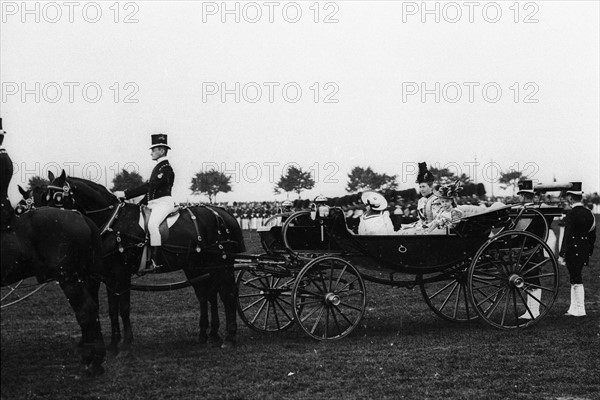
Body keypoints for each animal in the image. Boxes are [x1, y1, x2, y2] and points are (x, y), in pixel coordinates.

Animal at [0, 206, 105, 376]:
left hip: (69, 279)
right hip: (86, 278)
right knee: (93, 310)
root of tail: (79, 216)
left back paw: (91, 360)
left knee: (86, 311)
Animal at [43, 171, 246, 354]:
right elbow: (112, 309)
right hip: (198, 266)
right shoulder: (108, 276)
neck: (114, 223)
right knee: (207, 295)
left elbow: (124, 308)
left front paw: (125, 344)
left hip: (222, 265)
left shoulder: (121, 273)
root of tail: (223, 213)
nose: (46, 222)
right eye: (44, 196)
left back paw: (229, 338)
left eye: (57, 197)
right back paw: (208, 335)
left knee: (227, 294)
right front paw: (113, 344)